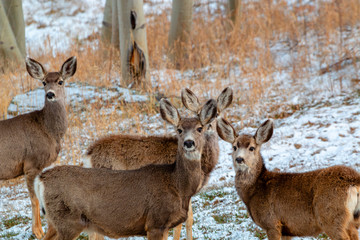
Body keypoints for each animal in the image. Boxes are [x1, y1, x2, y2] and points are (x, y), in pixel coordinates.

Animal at [0, 56, 76, 238]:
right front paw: (38, 232)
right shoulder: (31, 163)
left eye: (61, 81)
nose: (50, 94)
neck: (48, 129)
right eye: (43, 82)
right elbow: (34, 199)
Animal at [35, 98, 218, 240]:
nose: (189, 142)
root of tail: (41, 179)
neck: (178, 185)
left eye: (199, 128)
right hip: (67, 221)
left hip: (57, 222)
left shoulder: (164, 225)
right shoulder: (155, 223)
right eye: (179, 129)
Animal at [82, 87, 232, 240]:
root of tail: (88, 155)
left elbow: (189, 219)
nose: (209, 126)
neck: (204, 166)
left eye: (216, 114)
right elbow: (183, 221)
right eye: (197, 114)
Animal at [215, 118, 360, 240]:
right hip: (349, 220)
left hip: (330, 215)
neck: (254, 191)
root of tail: (354, 181)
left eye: (252, 147)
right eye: (234, 147)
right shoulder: (287, 230)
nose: (239, 159)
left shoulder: (272, 223)